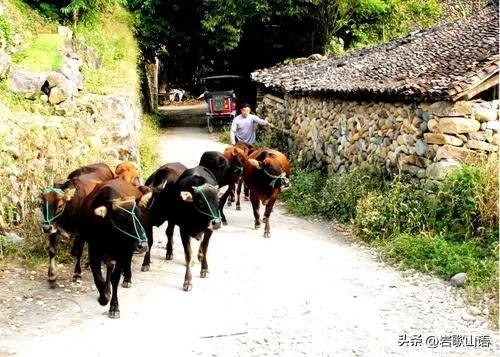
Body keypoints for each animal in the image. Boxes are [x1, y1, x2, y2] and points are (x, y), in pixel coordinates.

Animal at [78, 178, 150, 318]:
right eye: (121, 218)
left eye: (139, 215)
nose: (143, 245)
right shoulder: (93, 252)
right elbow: (98, 278)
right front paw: (104, 297)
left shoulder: (122, 253)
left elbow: (115, 278)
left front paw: (114, 307)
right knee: (109, 268)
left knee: (125, 264)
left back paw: (127, 278)